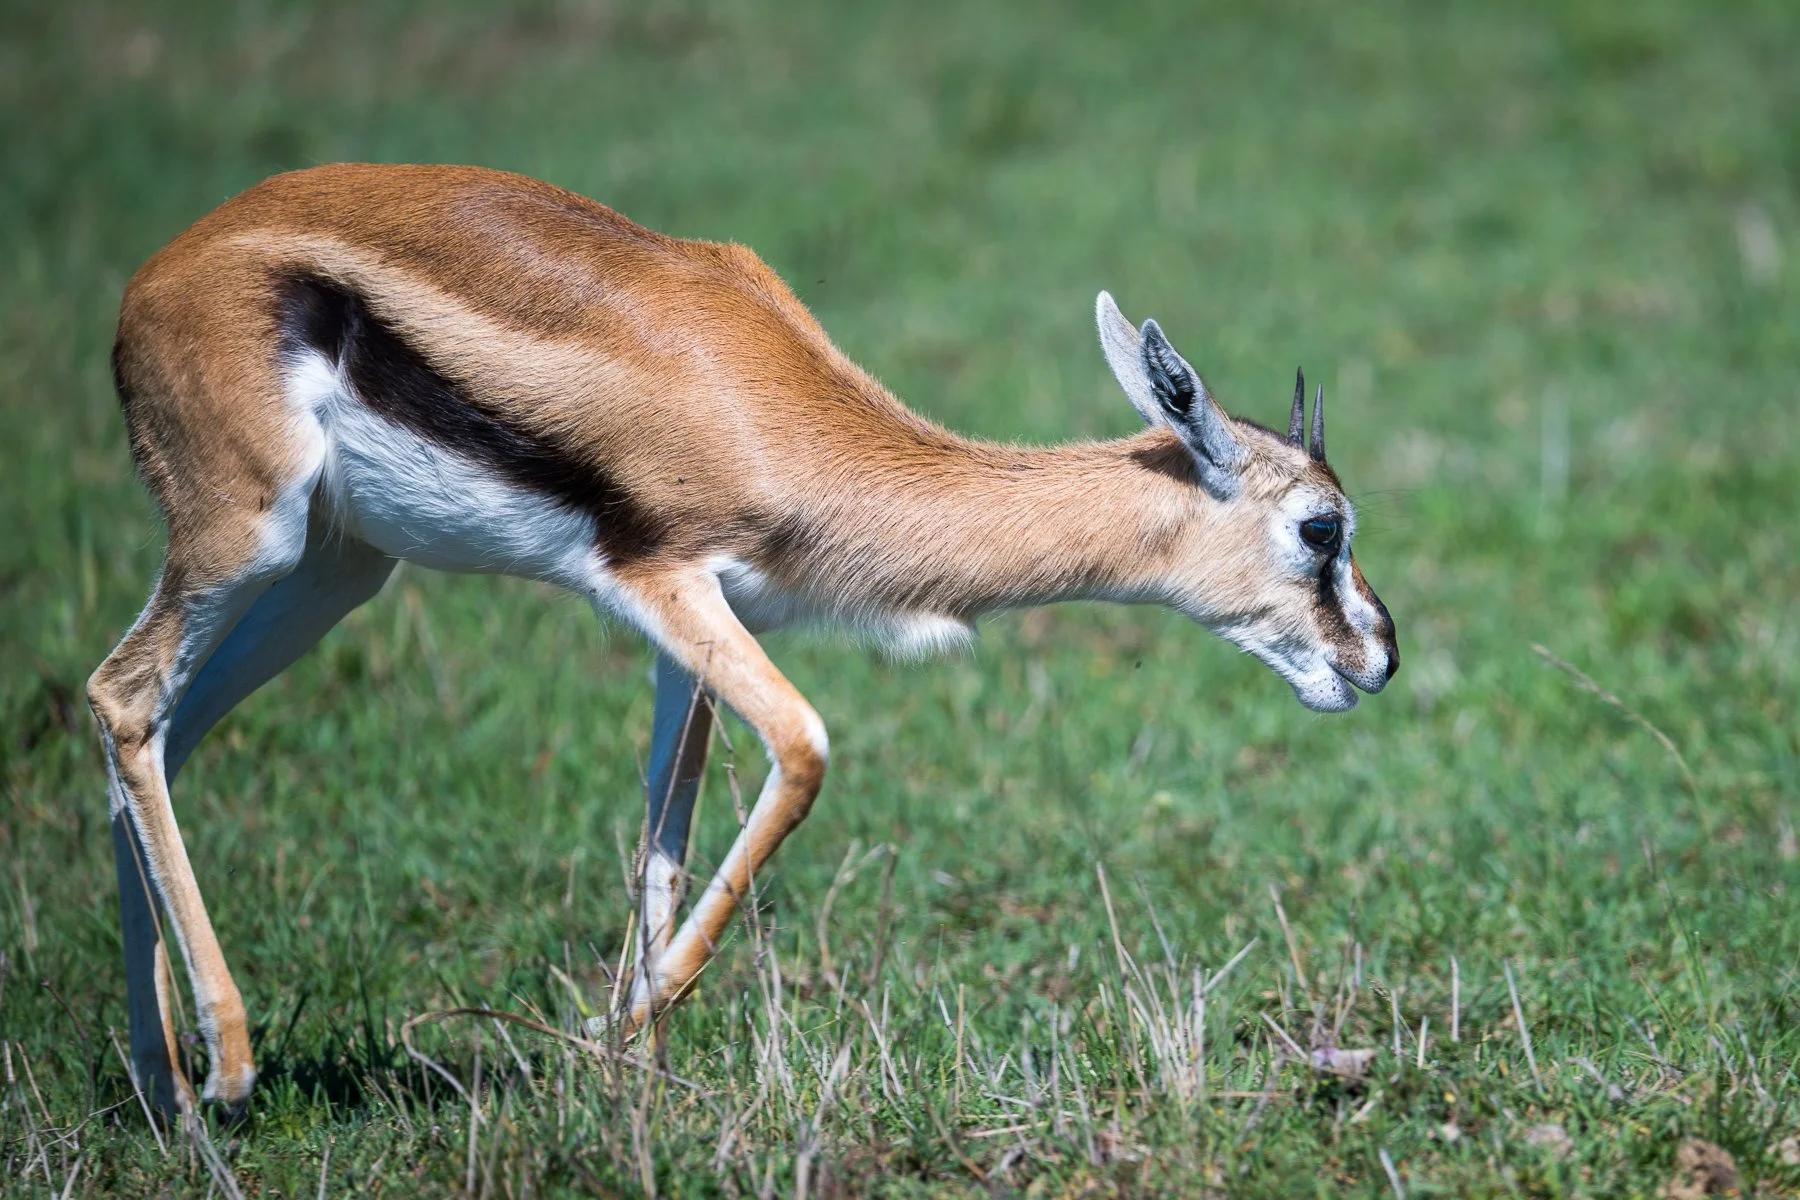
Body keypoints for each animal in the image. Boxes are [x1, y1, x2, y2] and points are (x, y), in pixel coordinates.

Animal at [90, 163, 1398, 1116]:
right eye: (1321, 528)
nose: (1378, 660)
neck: (774, 410)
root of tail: (149, 280)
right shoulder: (660, 579)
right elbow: (807, 749)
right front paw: (607, 1037)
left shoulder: (700, 624)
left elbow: (663, 839)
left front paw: (634, 1077)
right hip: (246, 538)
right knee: (119, 697)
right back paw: (228, 1069)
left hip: (332, 574)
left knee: (158, 738)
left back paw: (163, 1092)